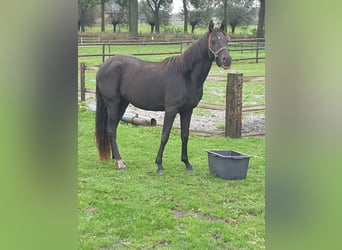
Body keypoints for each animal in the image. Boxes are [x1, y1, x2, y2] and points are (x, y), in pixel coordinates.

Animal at [95, 20, 231, 174]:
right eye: (213, 41)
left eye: (227, 40)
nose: (227, 60)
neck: (185, 75)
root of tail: (104, 66)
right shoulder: (171, 110)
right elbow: (165, 136)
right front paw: (159, 165)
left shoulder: (187, 111)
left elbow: (185, 136)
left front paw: (187, 163)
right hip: (112, 103)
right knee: (111, 130)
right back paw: (119, 162)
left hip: (122, 104)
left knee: (113, 128)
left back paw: (117, 158)